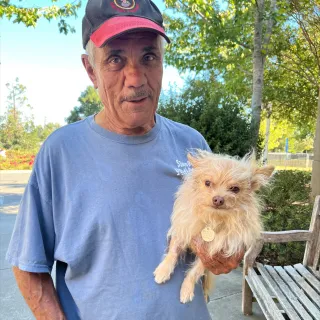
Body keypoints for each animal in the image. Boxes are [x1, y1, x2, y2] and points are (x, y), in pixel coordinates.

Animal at [154, 150, 274, 302]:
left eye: (235, 189)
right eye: (207, 183)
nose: (218, 199)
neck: (212, 219)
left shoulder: (210, 254)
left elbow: (196, 271)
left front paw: (186, 288)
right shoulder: (183, 230)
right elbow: (173, 251)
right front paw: (163, 270)